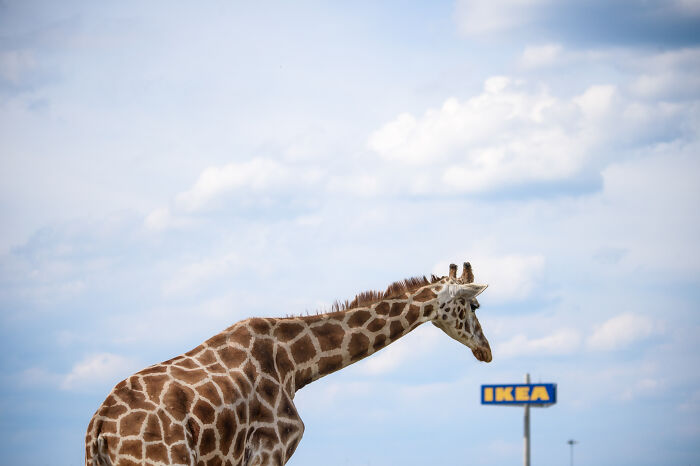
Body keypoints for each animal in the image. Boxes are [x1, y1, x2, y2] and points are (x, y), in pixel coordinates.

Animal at [85, 262, 492, 466]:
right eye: (474, 305)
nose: (486, 351)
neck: (295, 363)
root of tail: (98, 430)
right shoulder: (270, 451)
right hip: (162, 462)